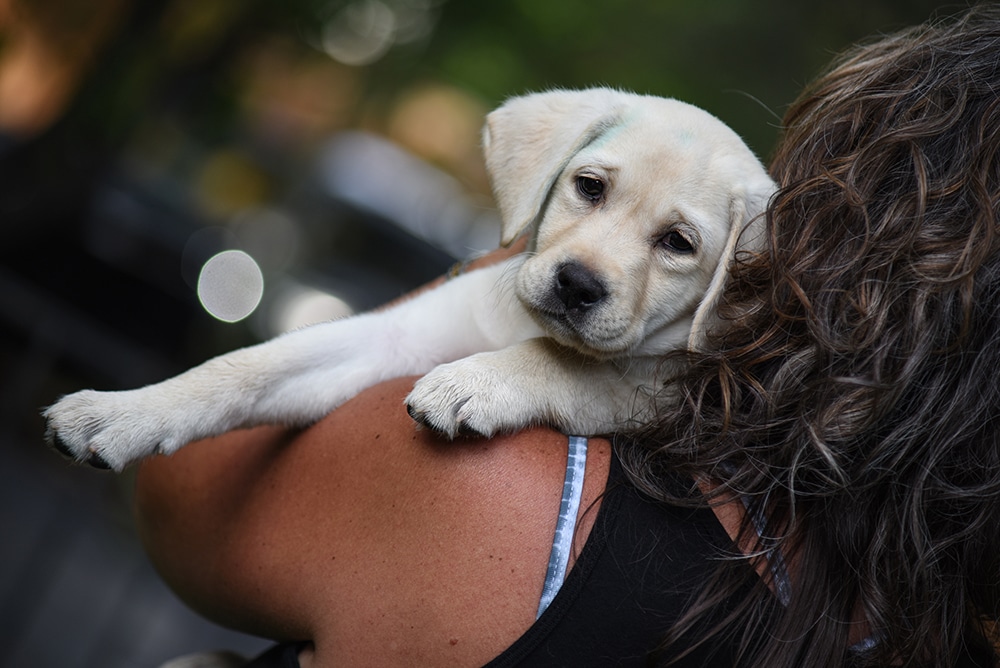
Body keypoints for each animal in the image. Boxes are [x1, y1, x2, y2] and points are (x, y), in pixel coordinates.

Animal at [43, 88, 776, 470]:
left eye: (678, 244)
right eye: (589, 187)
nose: (576, 285)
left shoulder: (671, 392)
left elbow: (568, 363)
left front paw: (477, 380)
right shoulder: (395, 336)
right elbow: (247, 366)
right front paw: (125, 410)